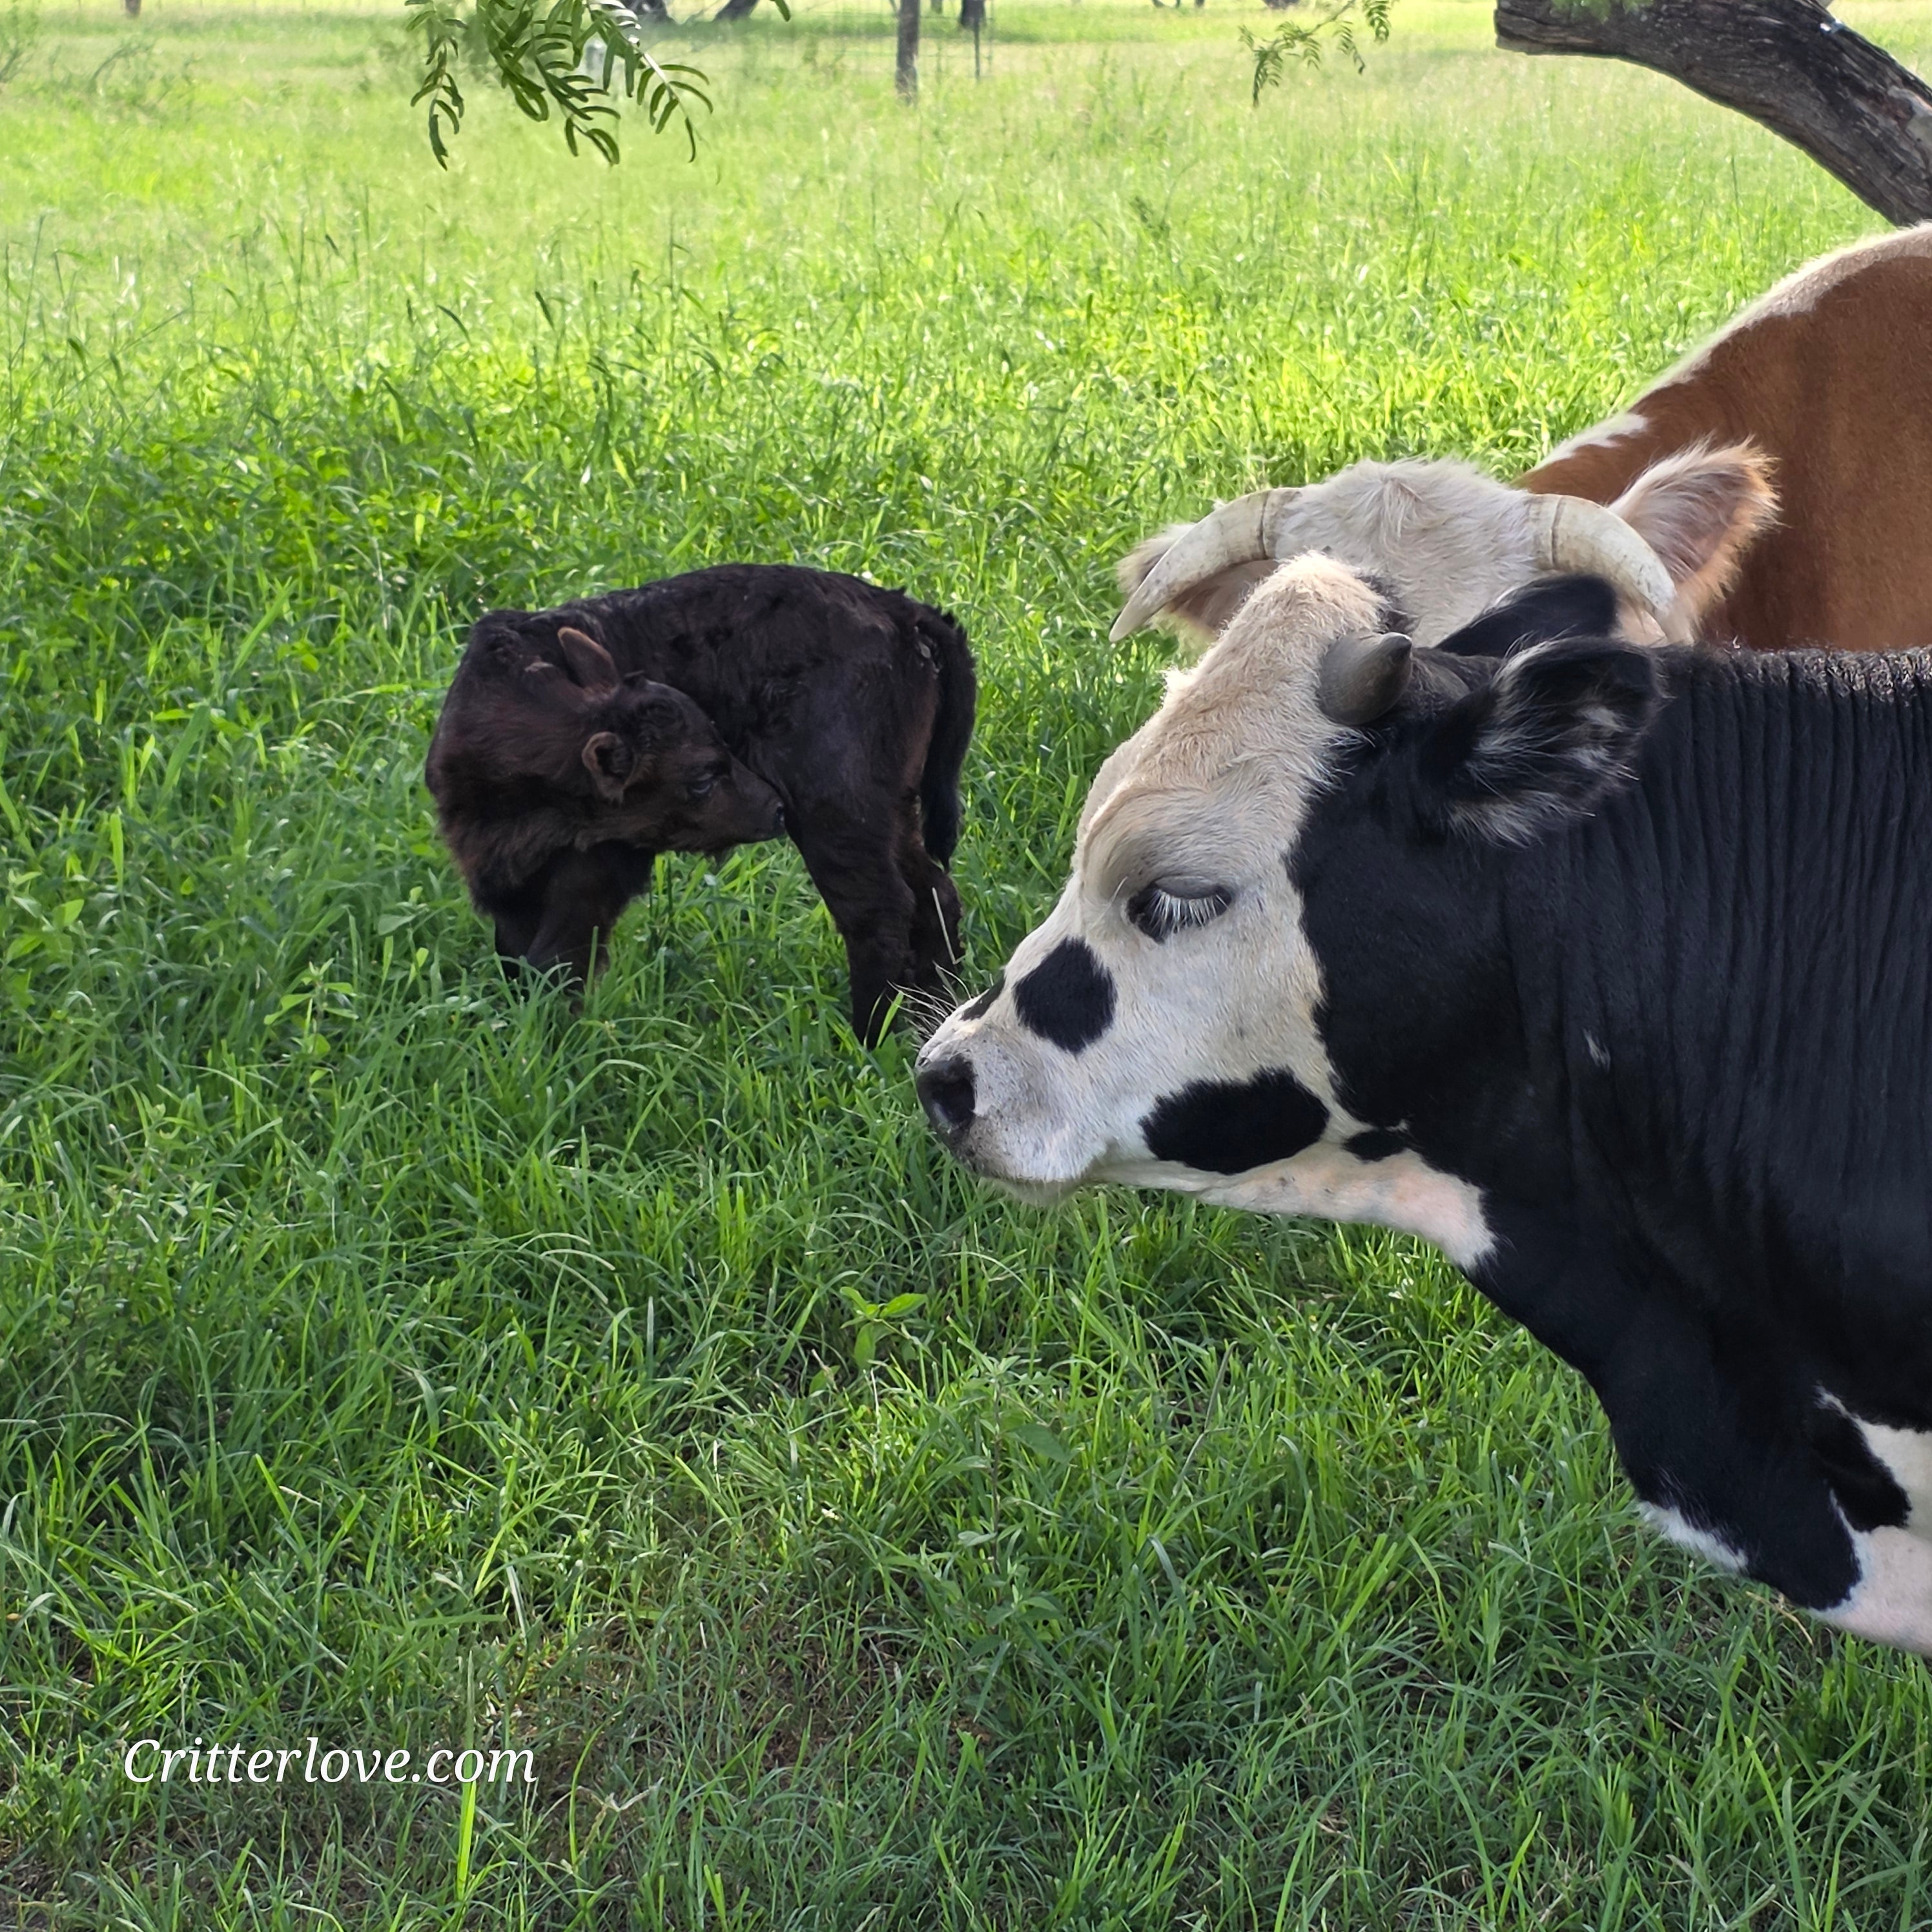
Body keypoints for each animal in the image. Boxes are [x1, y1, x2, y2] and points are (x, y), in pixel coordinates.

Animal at [426, 565, 977, 1044]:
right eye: (700, 778)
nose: (774, 807)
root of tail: (900, 610)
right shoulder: (503, 881)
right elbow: (519, 957)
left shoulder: (599, 866)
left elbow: (556, 958)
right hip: (892, 813)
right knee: (933, 893)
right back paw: (938, 1013)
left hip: (840, 813)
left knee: (879, 909)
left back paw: (869, 1037)